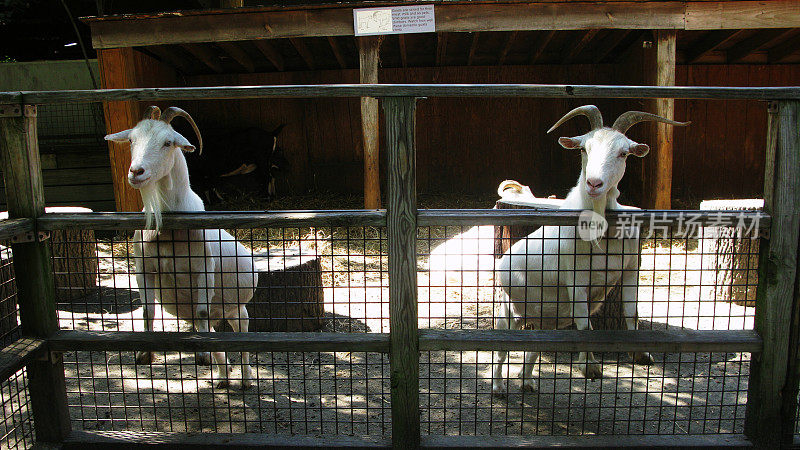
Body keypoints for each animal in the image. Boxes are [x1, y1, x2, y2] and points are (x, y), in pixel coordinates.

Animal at [105, 107, 256, 388]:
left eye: (167, 142)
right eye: (131, 139)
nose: (136, 172)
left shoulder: (203, 268)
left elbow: (202, 310)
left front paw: (204, 357)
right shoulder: (144, 268)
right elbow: (147, 311)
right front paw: (144, 354)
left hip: (237, 308)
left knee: (239, 333)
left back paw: (246, 379)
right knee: (212, 331)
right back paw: (222, 376)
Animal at [494, 104, 688, 394]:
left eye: (624, 152)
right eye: (584, 149)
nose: (594, 184)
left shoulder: (631, 269)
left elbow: (632, 312)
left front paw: (641, 354)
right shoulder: (575, 279)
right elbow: (585, 323)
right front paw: (590, 367)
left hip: (547, 317)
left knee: (535, 345)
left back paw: (526, 381)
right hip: (509, 309)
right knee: (502, 348)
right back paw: (498, 387)